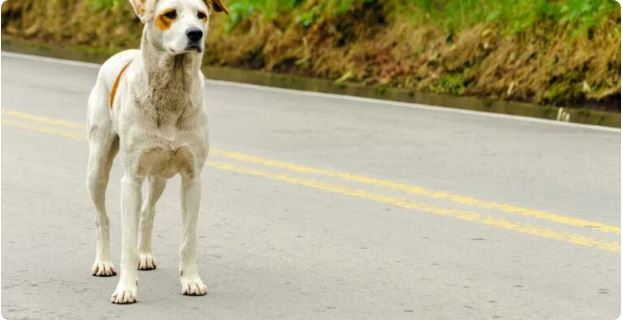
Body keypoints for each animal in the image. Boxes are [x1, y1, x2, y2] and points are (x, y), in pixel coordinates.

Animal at [84, 0, 227, 304]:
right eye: (169, 14)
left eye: (202, 15)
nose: (196, 34)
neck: (172, 88)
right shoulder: (132, 179)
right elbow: (126, 242)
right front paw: (126, 288)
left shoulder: (192, 179)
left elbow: (188, 239)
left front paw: (191, 280)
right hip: (97, 167)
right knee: (102, 216)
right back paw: (103, 262)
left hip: (159, 177)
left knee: (147, 212)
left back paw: (145, 255)